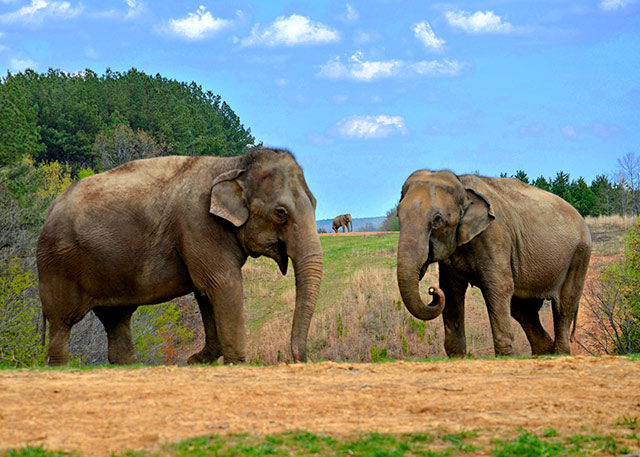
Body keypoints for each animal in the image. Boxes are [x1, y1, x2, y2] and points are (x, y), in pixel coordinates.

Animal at [37, 148, 322, 366]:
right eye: (281, 213)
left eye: (315, 203)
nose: (298, 359)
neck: (233, 163)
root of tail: (51, 207)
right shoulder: (198, 223)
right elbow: (222, 284)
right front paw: (234, 363)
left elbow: (206, 292)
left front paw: (198, 359)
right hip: (58, 264)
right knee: (62, 324)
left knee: (116, 320)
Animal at [398, 168, 592, 356]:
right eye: (398, 216)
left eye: (437, 220)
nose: (431, 291)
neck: (462, 184)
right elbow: (451, 291)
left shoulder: (494, 237)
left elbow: (498, 287)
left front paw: (505, 356)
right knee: (523, 311)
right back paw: (543, 353)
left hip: (579, 256)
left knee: (563, 307)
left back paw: (559, 354)